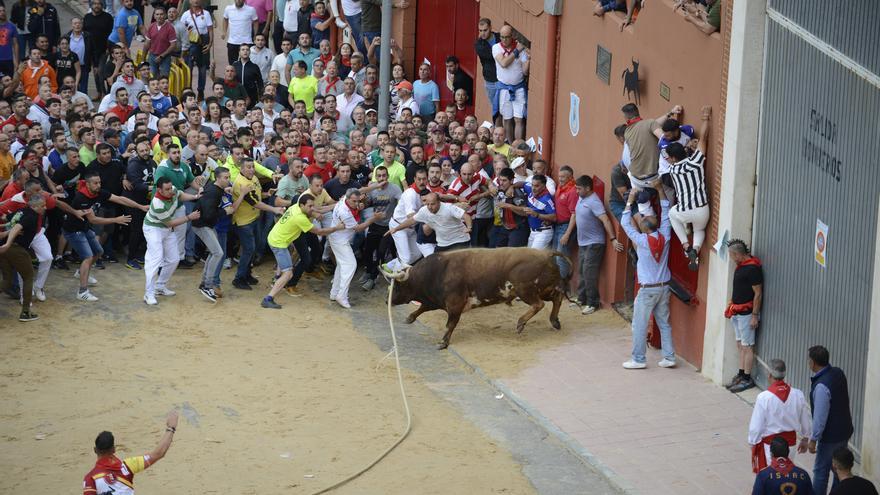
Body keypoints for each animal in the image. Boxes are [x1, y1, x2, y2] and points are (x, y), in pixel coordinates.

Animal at [388, 247, 576, 348]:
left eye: (397, 286)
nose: (386, 301)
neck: (437, 271)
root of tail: (546, 253)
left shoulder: (454, 304)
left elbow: (450, 324)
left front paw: (443, 343)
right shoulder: (436, 300)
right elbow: (422, 307)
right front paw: (409, 318)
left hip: (526, 291)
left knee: (539, 304)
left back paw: (521, 323)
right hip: (545, 288)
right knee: (557, 298)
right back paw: (554, 321)